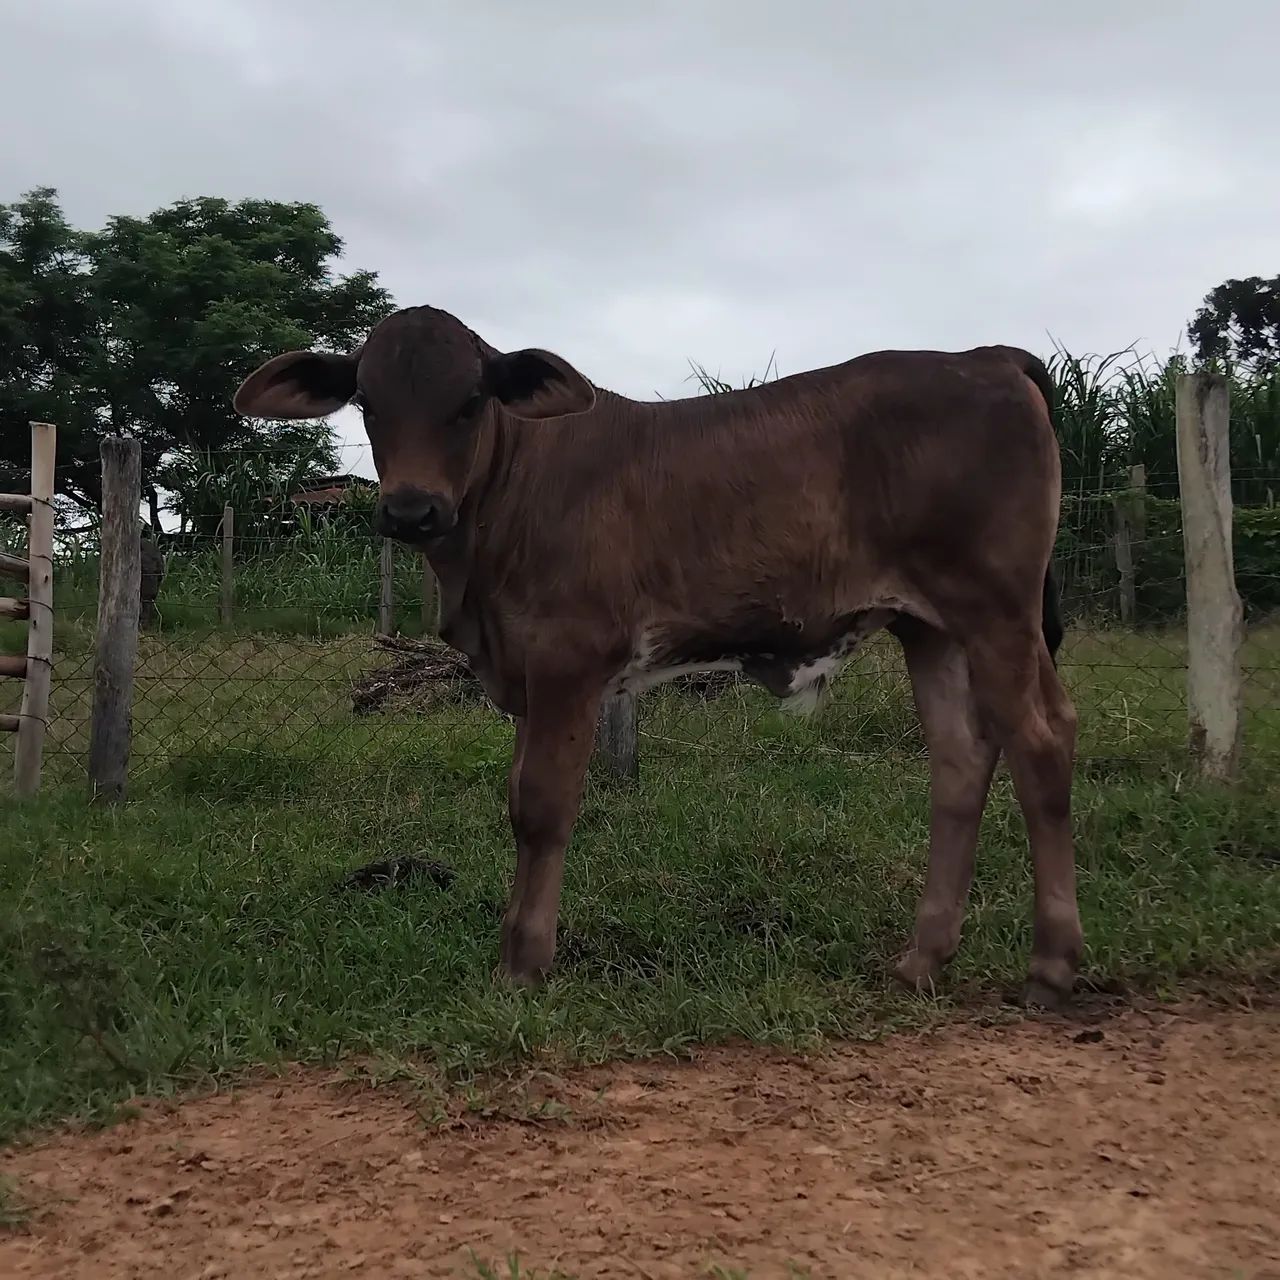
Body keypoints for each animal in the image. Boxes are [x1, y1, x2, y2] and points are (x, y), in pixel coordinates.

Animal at [233, 305, 1082, 1008]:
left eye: (470, 400)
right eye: (368, 403)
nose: (411, 510)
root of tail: (987, 355)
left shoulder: (571, 662)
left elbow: (542, 806)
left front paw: (525, 962)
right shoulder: (529, 676)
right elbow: (518, 800)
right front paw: (515, 948)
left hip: (997, 612)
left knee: (1040, 743)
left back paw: (1052, 965)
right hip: (932, 627)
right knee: (962, 761)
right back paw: (923, 959)